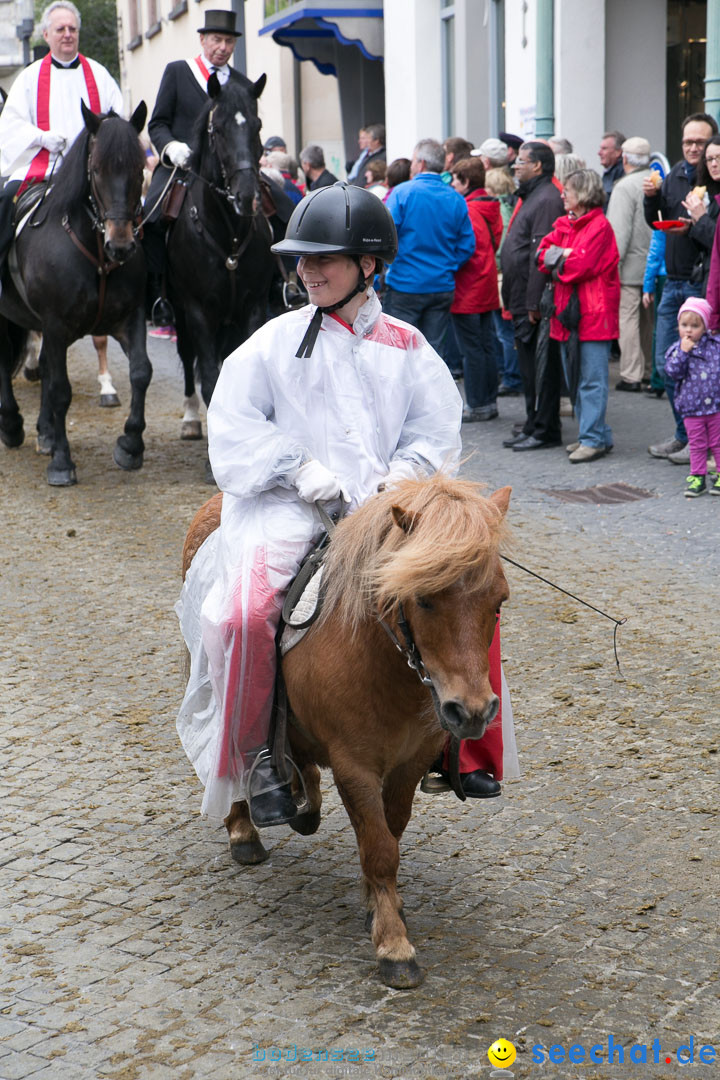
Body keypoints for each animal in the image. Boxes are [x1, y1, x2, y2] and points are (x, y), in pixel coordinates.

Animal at [0, 103, 150, 488]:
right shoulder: (55, 326)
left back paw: (45, 432)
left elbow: (141, 372)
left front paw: (130, 445)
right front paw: (62, 463)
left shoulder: (129, 318)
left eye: (139, 169)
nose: (121, 246)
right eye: (96, 170)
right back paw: (12, 425)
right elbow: (60, 390)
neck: (96, 257)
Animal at [167, 70, 274, 460]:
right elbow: (211, 379)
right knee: (188, 361)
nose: (247, 196)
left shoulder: (253, 307)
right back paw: (190, 420)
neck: (227, 236)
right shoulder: (199, 312)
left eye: (257, 126)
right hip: (180, 315)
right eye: (219, 129)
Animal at [185, 473, 511, 989]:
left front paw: (380, 905)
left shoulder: (408, 764)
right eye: (423, 598)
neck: (381, 661)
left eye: (498, 601)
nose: (472, 712)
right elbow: (379, 849)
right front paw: (394, 946)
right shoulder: (355, 766)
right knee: (226, 744)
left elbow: (389, 833)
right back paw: (244, 828)